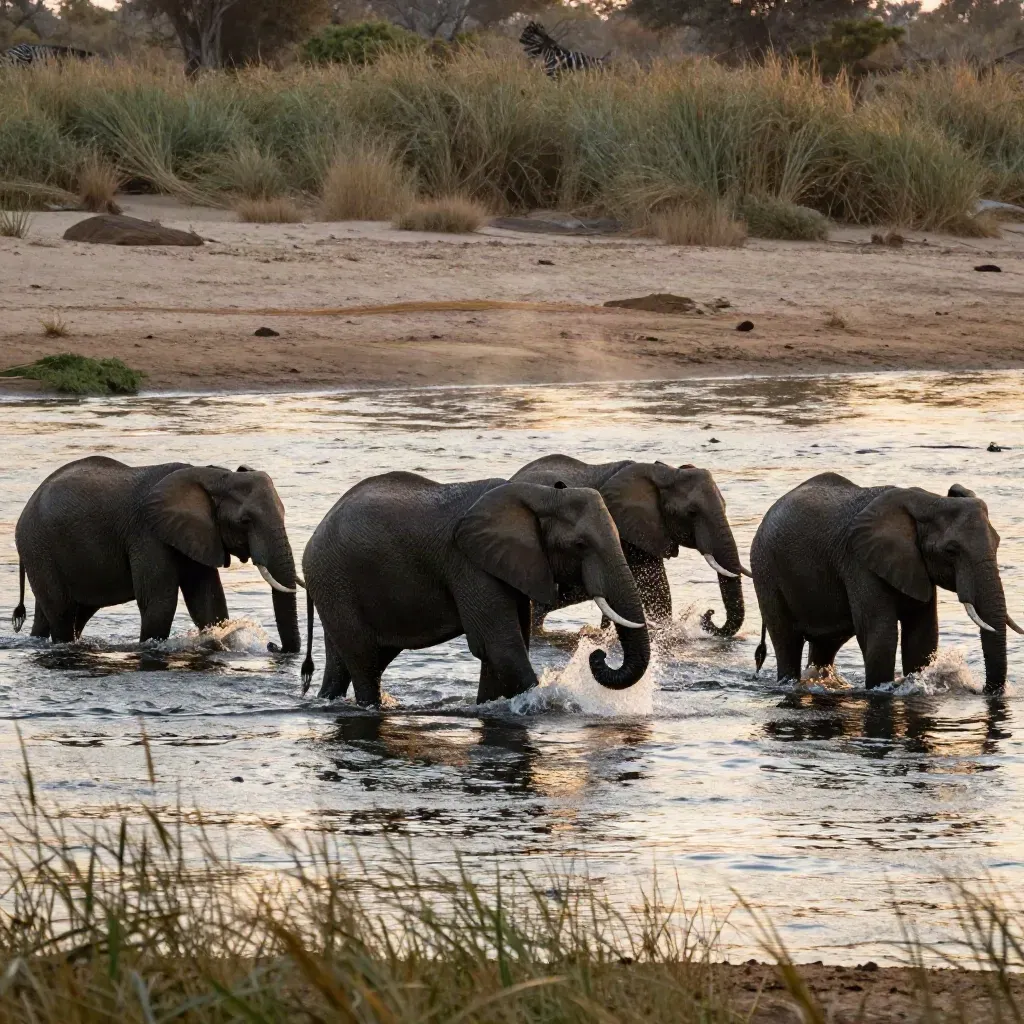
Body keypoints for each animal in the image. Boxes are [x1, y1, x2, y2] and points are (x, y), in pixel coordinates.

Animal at [13, 457, 302, 652]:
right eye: (245, 521)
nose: (273, 646)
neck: (214, 477)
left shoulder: (196, 534)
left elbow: (208, 602)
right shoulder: (148, 533)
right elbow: (160, 602)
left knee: (65, 613)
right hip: (38, 548)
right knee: (62, 612)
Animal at [301, 472, 651, 705]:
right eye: (580, 545)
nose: (598, 654)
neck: (540, 496)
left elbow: (503, 647)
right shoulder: (469, 564)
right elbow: (499, 647)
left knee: (347, 661)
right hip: (335, 582)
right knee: (364, 660)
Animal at [750, 472, 1021, 692]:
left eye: (998, 543)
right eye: (951, 551)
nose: (982, 690)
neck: (929, 501)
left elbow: (922, 635)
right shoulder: (859, 561)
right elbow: (880, 634)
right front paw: (882, 690)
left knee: (826, 645)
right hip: (765, 570)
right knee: (786, 640)